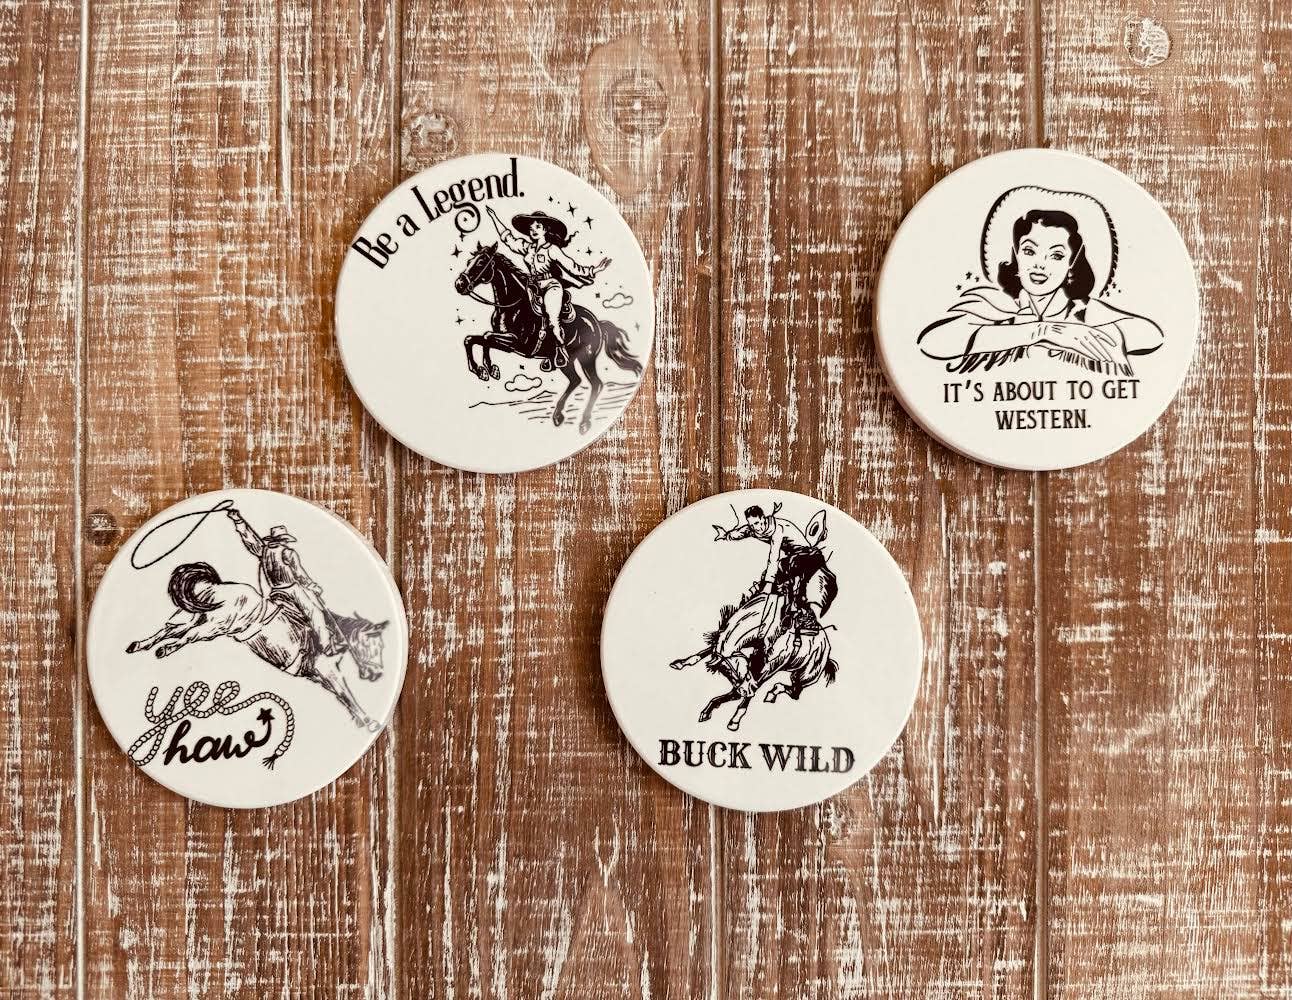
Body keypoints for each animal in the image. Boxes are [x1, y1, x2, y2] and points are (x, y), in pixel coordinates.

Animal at [126, 562, 389, 732]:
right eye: (374, 644)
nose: (376, 674)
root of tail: (214, 587)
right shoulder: (328, 671)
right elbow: (347, 694)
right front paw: (369, 721)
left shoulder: (319, 676)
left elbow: (342, 698)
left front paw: (359, 720)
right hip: (211, 628)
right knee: (186, 637)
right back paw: (164, 650)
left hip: (194, 620)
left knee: (168, 631)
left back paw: (140, 645)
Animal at [453, 242, 643, 434]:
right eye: (469, 261)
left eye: (481, 262)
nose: (459, 284)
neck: (514, 306)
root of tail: (597, 323)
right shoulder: (505, 341)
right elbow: (474, 339)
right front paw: (487, 369)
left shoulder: (516, 344)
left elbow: (485, 337)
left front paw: (484, 369)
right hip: (568, 361)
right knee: (576, 380)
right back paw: (558, 416)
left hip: (587, 358)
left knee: (596, 384)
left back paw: (584, 423)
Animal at [669, 593, 838, 732]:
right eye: (729, 672)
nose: (745, 690)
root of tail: (827, 648)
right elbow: (703, 653)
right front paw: (680, 663)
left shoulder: (762, 673)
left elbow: (744, 700)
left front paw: (734, 722)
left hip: (803, 676)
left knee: (794, 692)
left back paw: (772, 692)